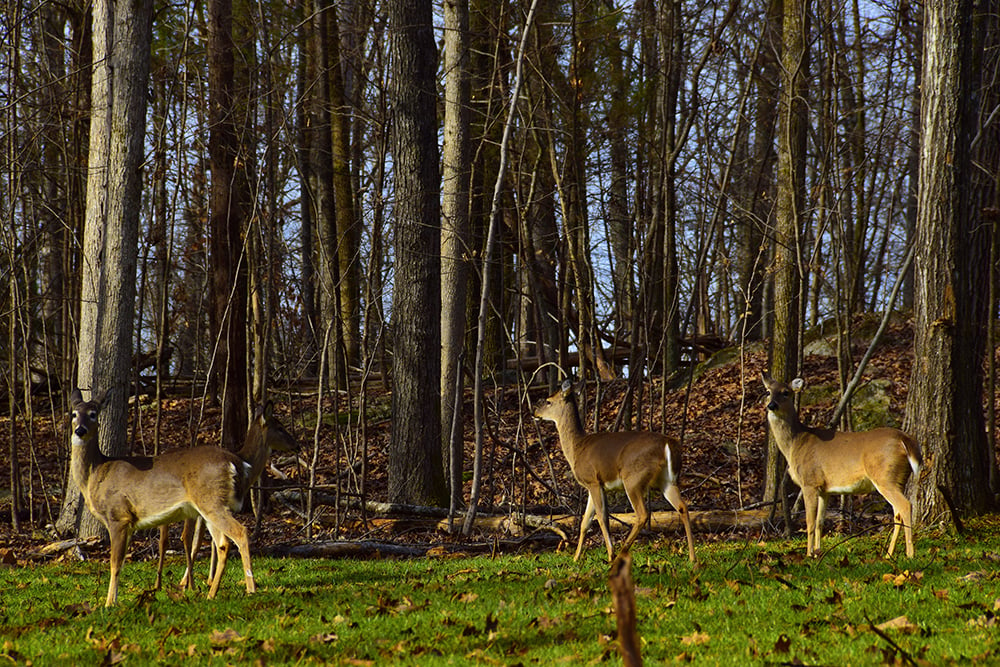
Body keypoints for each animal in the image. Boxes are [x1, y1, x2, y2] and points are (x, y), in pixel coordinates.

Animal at [69, 388, 274, 608]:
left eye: (93, 414)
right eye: (74, 413)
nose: (79, 430)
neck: (96, 474)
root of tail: (235, 462)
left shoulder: (119, 516)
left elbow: (114, 564)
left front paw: (109, 604)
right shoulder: (129, 523)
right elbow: (122, 563)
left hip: (211, 502)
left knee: (240, 532)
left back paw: (251, 589)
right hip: (211, 506)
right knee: (223, 543)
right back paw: (213, 593)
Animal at [154, 400, 296, 592]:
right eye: (280, 427)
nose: (296, 445)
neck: (245, 463)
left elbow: (208, 542)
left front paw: (206, 580)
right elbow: (198, 540)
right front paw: (194, 582)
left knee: (176, 538)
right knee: (171, 538)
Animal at [532, 380, 696, 564]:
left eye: (548, 401)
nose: (534, 412)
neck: (576, 448)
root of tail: (668, 443)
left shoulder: (592, 481)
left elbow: (601, 518)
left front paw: (610, 554)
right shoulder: (595, 486)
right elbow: (585, 522)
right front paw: (575, 558)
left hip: (633, 478)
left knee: (642, 514)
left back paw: (620, 554)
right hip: (667, 480)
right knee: (682, 506)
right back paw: (692, 558)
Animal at [764, 376, 920, 560]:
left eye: (785, 392)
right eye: (768, 391)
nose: (771, 405)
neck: (795, 444)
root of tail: (904, 439)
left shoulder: (809, 482)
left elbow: (809, 522)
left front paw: (808, 555)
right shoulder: (824, 489)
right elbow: (820, 522)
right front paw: (818, 553)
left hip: (884, 476)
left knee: (905, 505)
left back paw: (910, 554)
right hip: (898, 478)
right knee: (897, 512)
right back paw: (889, 555)